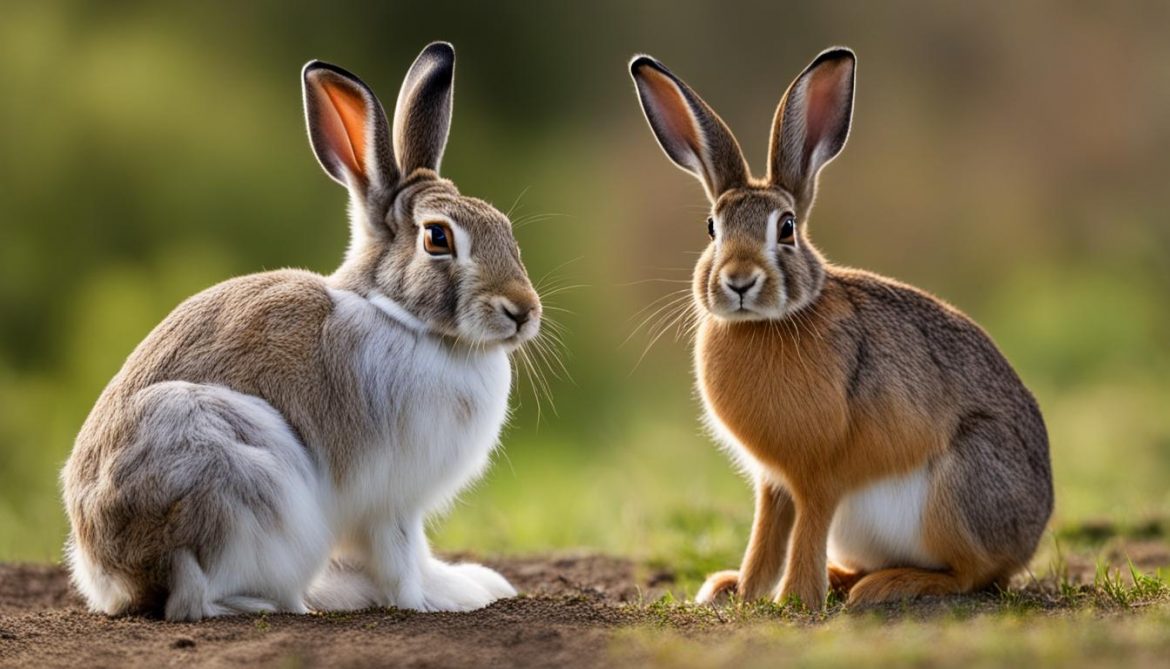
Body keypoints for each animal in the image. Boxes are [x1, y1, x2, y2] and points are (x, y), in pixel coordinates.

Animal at [60, 42, 541, 621]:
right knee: (199, 598)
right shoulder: (389, 501)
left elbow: (418, 553)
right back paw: (296, 601)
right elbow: (401, 557)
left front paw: (469, 583)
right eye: (437, 238)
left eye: (505, 229)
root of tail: (117, 574)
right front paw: (432, 600)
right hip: (242, 479)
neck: (399, 315)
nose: (523, 311)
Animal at [628, 47, 1052, 609]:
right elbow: (765, 536)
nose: (738, 281)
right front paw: (742, 593)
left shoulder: (820, 476)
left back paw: (882, 587)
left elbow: (806, 531)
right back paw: (837, 579)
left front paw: (792, 600)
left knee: (971, 574)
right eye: (712, 229)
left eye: (786, 228)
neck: (767, 323)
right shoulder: (774, 484)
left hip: (960, 487)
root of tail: (1032, 532)